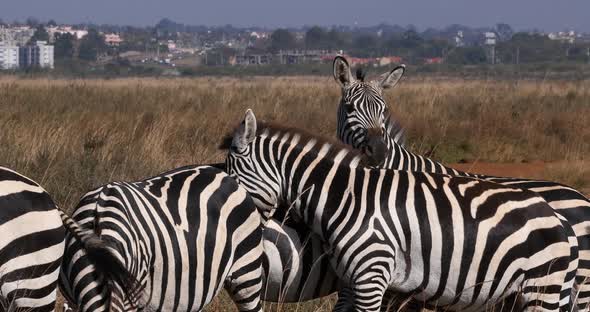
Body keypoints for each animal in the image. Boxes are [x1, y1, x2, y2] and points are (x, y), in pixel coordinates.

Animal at [224, 108, 580, 310]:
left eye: (232, 176)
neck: (346, 199)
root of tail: (559, 219)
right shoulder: (352, 282)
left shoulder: (372, 277)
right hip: (526, 294)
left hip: (542, 288)